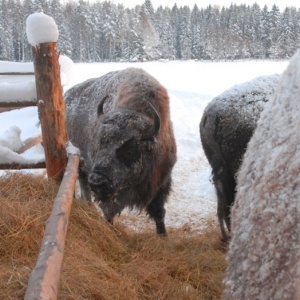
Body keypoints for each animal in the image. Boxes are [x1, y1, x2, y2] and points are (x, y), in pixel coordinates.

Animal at [63, 67, 176, 234]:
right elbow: (109, 212)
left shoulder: (161, 183)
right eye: (100, 142)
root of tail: (66, 96)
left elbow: (159, 212)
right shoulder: (112, 194)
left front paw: (163, 235)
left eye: (128, 148)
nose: (97, 181)